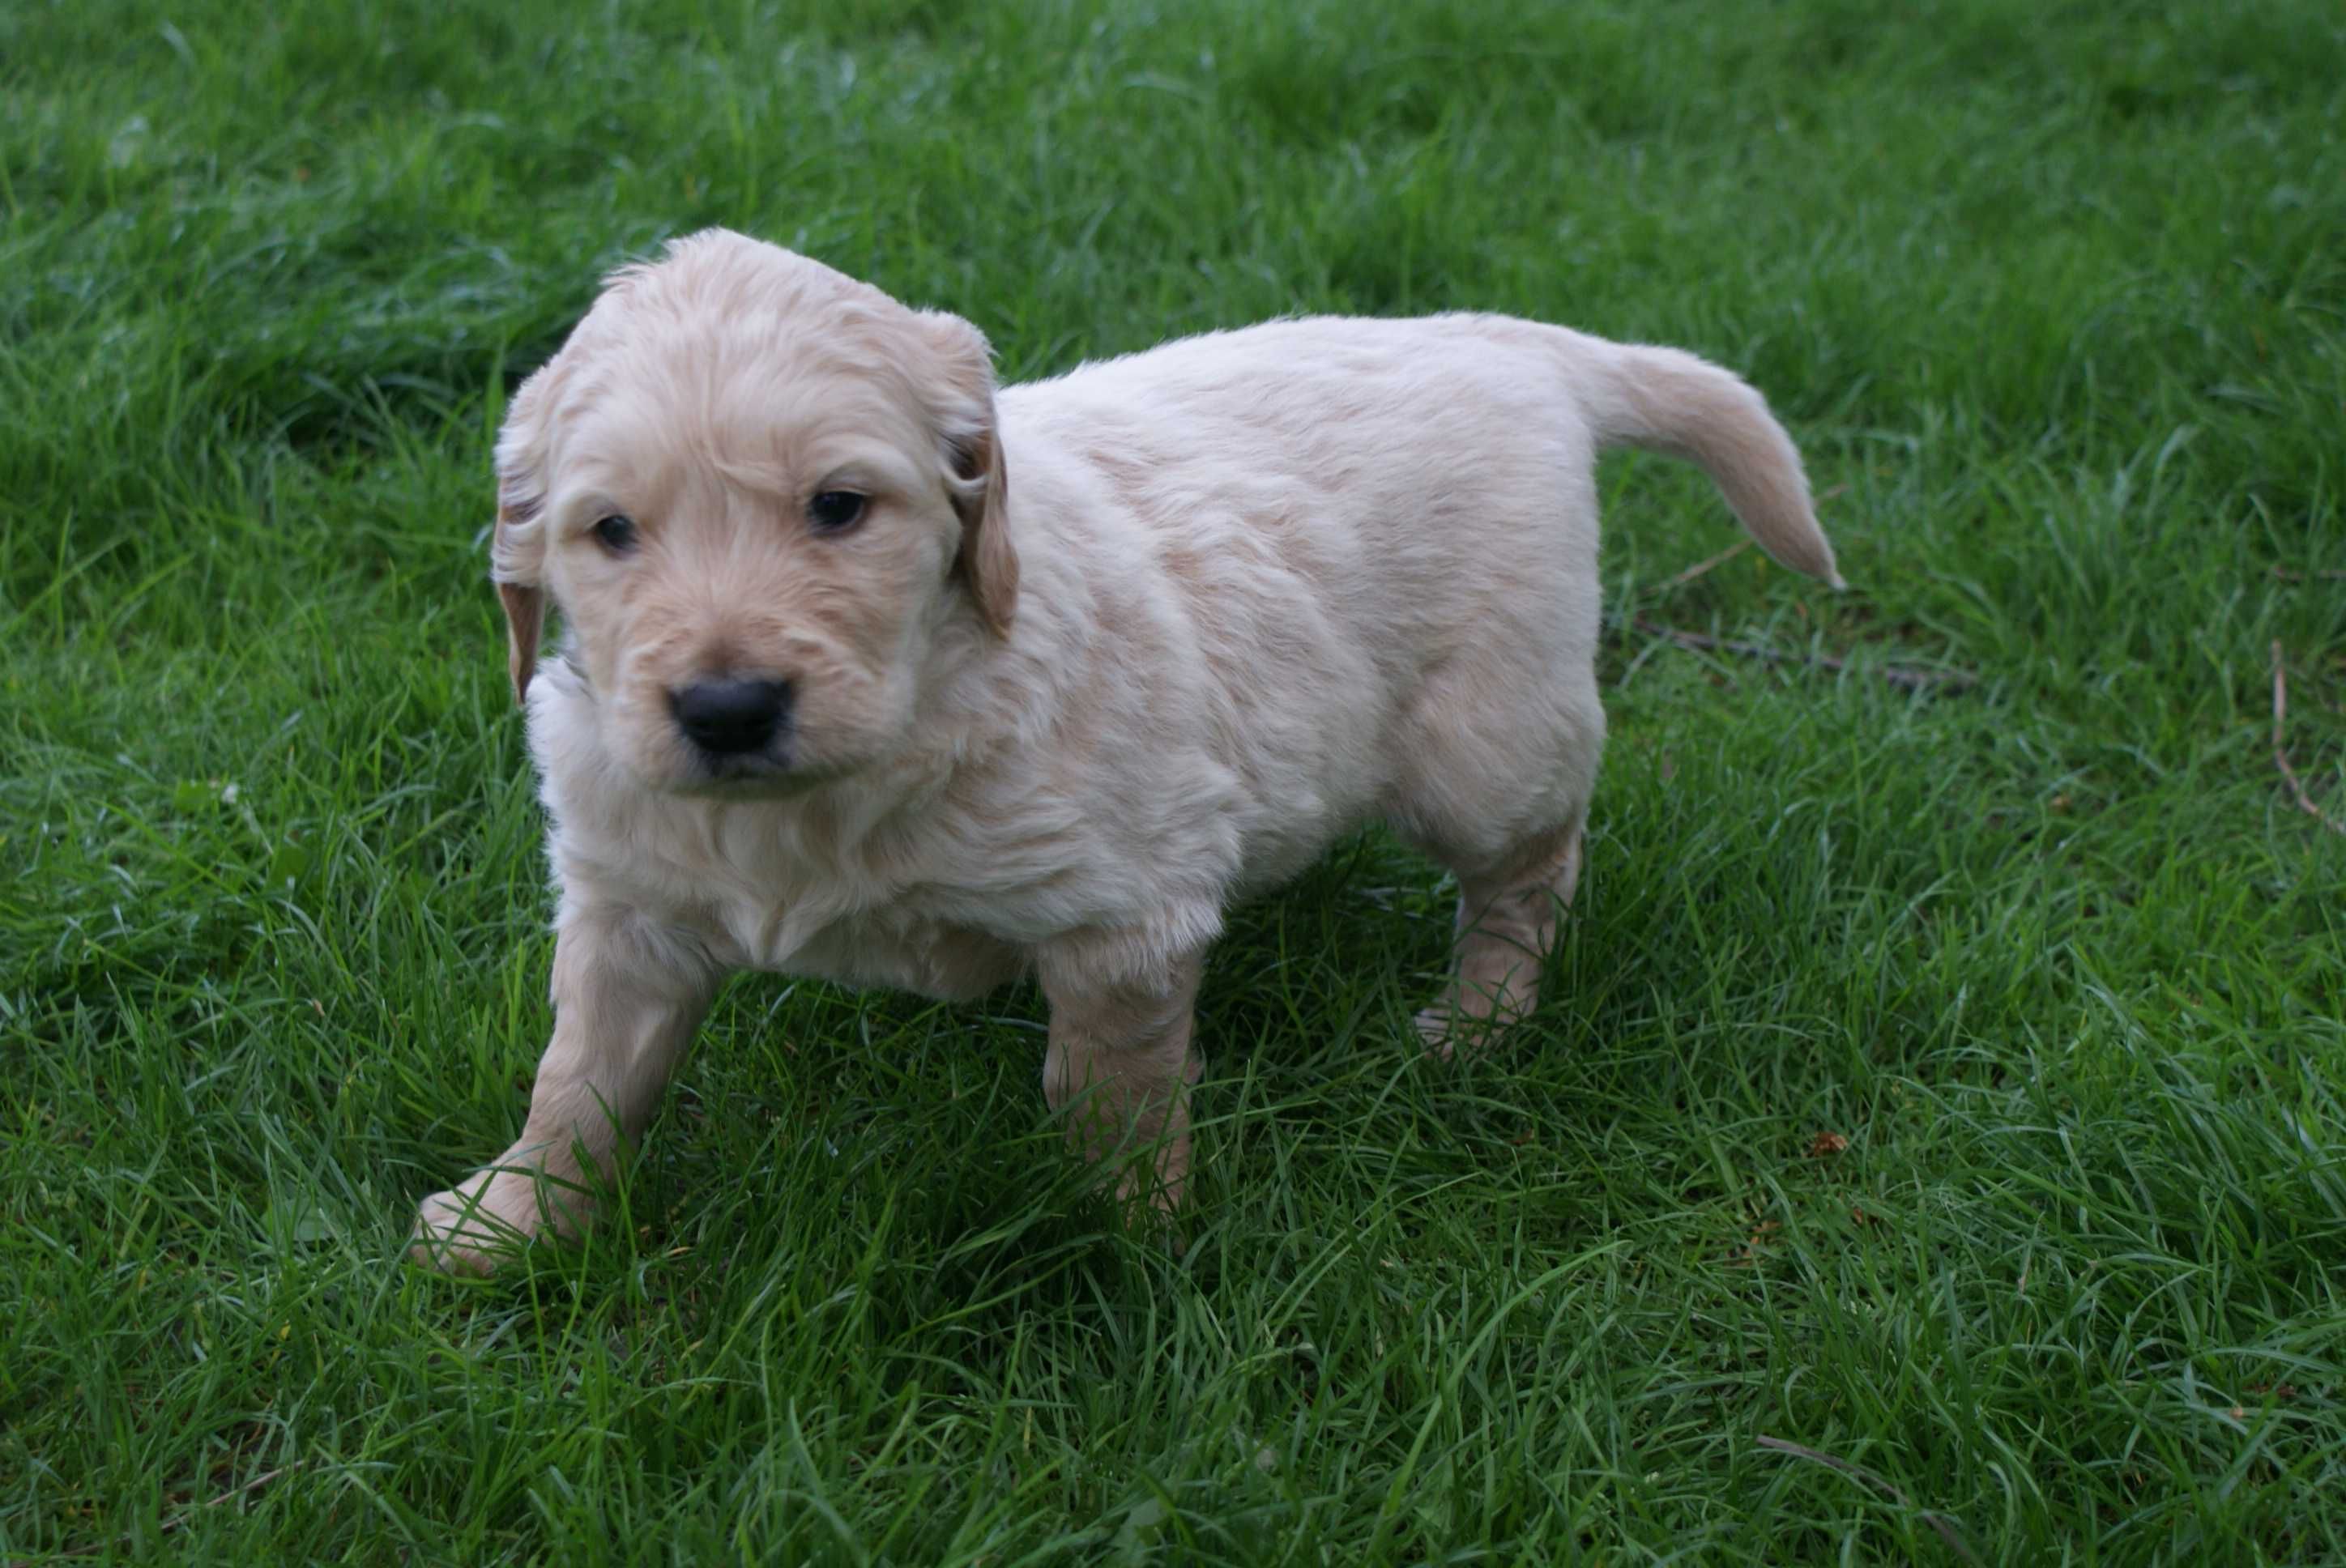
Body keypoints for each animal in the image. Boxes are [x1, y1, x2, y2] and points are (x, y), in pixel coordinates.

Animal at [412, 222, 1839, 1275]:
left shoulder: (1123, 912)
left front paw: (1129, 1244)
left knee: (1533, 865)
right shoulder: (626, 897)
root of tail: (1504, 342)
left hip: (1486, 737)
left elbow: (1110, 1092)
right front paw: (510, 1220)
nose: (725, 709)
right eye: (609, 531)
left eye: (839, 508)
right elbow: (582, 1075)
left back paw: (1479, 1024)